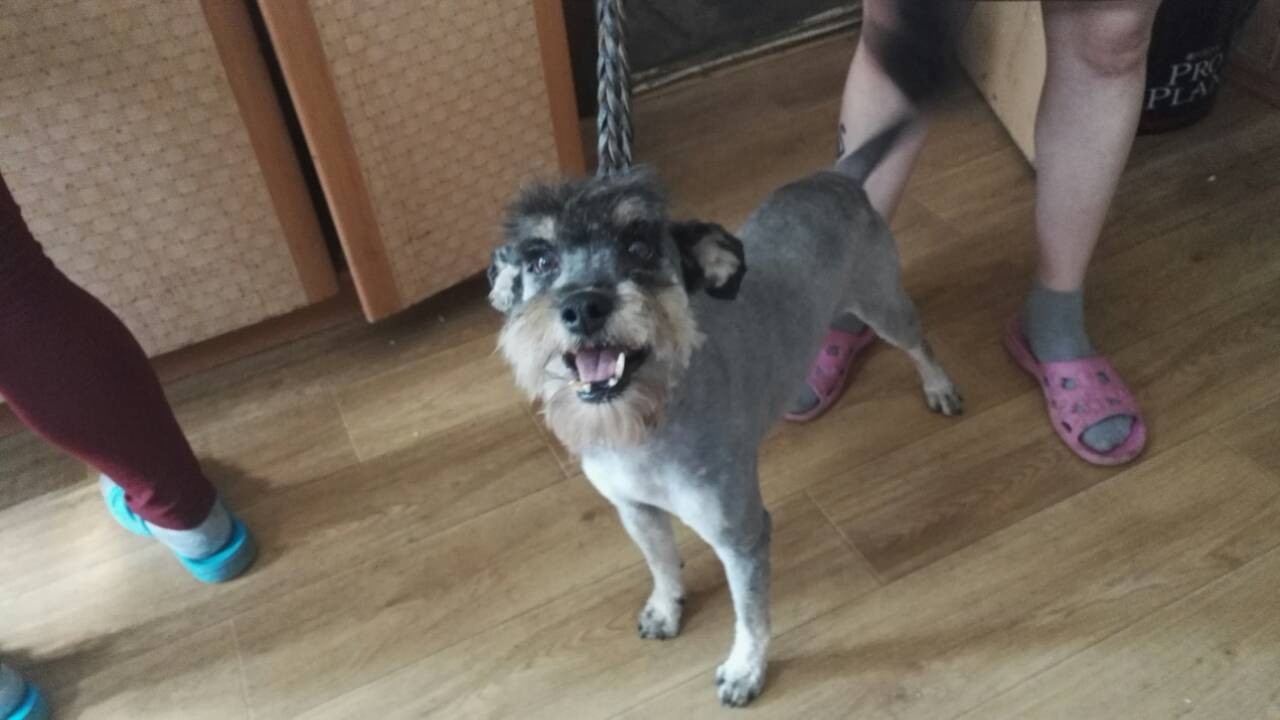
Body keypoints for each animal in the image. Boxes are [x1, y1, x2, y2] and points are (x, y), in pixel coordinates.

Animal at [487, 113, 963, 705]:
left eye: (639, 247)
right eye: (540, 259)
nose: (582, 306)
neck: (647, 422)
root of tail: (835, 178)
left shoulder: (741, 535)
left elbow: (751, 614)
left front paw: (744, 671)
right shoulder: (635, 509)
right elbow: (661, 563)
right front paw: (666, 609)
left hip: (884, 304)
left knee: (920, 343)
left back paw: (939, 387)